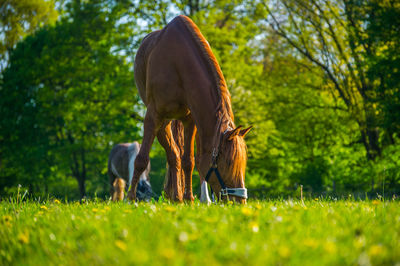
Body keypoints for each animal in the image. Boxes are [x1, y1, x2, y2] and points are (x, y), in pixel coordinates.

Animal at [128, 15, 252, 204]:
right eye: (229, 163)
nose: (240, 201)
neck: (178, 63)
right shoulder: (153, 116)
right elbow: (142, 159)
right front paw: (130, 198)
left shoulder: (191, 120)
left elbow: (190, 161)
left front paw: (189, 198)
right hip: (163, 123)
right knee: (173, 155)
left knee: (184, 157)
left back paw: (187, 197)